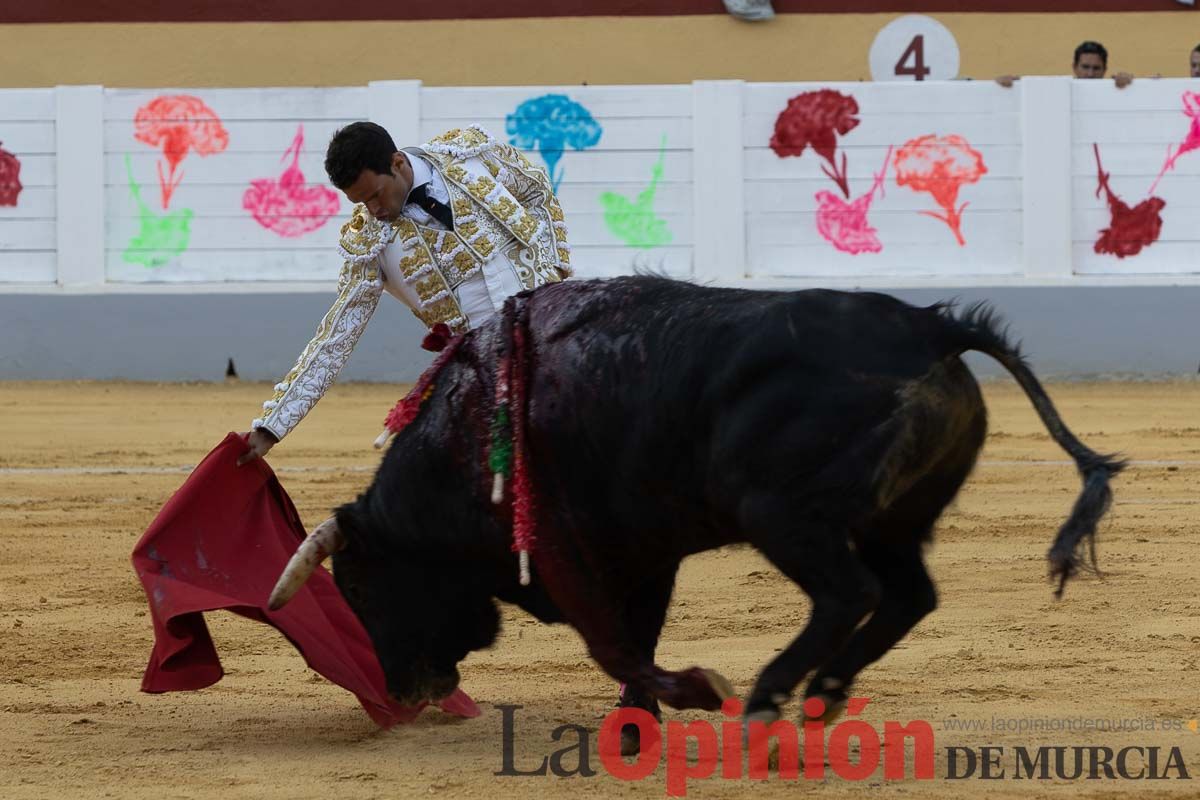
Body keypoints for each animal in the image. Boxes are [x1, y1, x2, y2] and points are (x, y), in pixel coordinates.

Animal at [265, 277, 1123, 753]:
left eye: (360, 587)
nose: (400, 691)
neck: (470, 432)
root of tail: (930, 326)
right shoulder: (644, 554)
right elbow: (637, 635)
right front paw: (635, 725)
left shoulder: (572, 556)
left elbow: (616, 644)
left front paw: (692, 694)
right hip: (894, 521)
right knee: (909, 595)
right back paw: (823, 694)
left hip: (781, 513)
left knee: (849, 593)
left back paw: (769, 700)